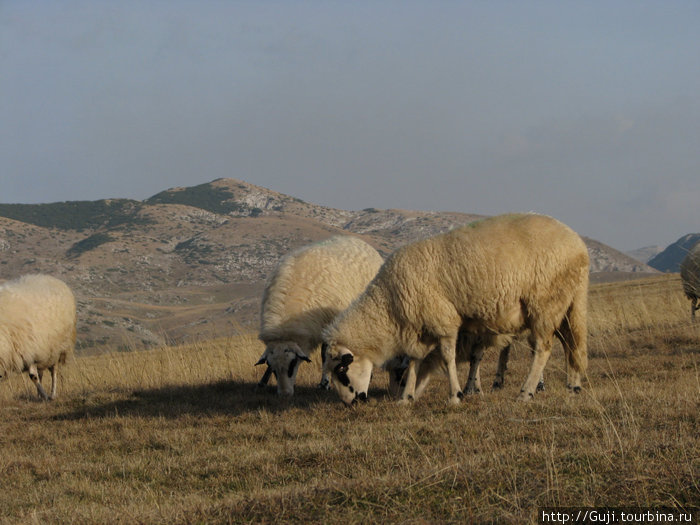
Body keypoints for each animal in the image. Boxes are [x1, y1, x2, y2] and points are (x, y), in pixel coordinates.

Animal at [0, 272, 77, 400]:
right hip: (43, 353)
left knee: (53, 371)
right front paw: (42, 395)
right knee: (41, 373)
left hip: (56, 349)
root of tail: (51, 278)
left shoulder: (28, 349)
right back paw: (40, 395)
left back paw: (52, 394)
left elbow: (33, 377)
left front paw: (46, 396)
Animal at [256, 235, 382, 396]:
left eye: (293, 363)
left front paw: (324, 384)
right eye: (272, 367)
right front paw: (262, 382)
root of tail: (356, 239)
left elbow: (325, 355)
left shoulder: (328, 322)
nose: (285, 393)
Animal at [326, 213, 588, 406]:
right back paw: (573, 387)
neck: (389, 305)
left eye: (341, 369)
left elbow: (448, 357)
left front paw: (456, 396)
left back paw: (526, 392)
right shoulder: (420, 328)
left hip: (546, 301)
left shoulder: (443, 320)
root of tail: (580, 245)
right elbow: (415, 361)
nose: (351, 403)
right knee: (571, 343)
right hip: (567, 303)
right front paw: (406, 398)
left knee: (543, 348)